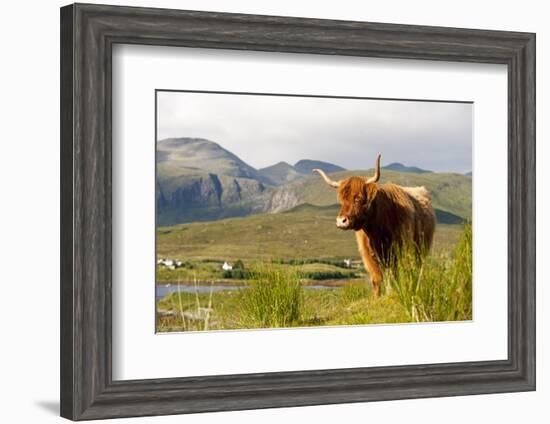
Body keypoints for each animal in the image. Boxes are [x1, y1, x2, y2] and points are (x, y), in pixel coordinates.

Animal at [316, 154, 438, 296]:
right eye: (342, 200)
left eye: (358, 198)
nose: (341, 221)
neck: (377, 230)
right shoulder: (369, 255)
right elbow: (377, 279)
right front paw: (377, 297)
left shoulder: (400, 251)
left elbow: (397, 276)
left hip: (421, 250)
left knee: (416, 270)